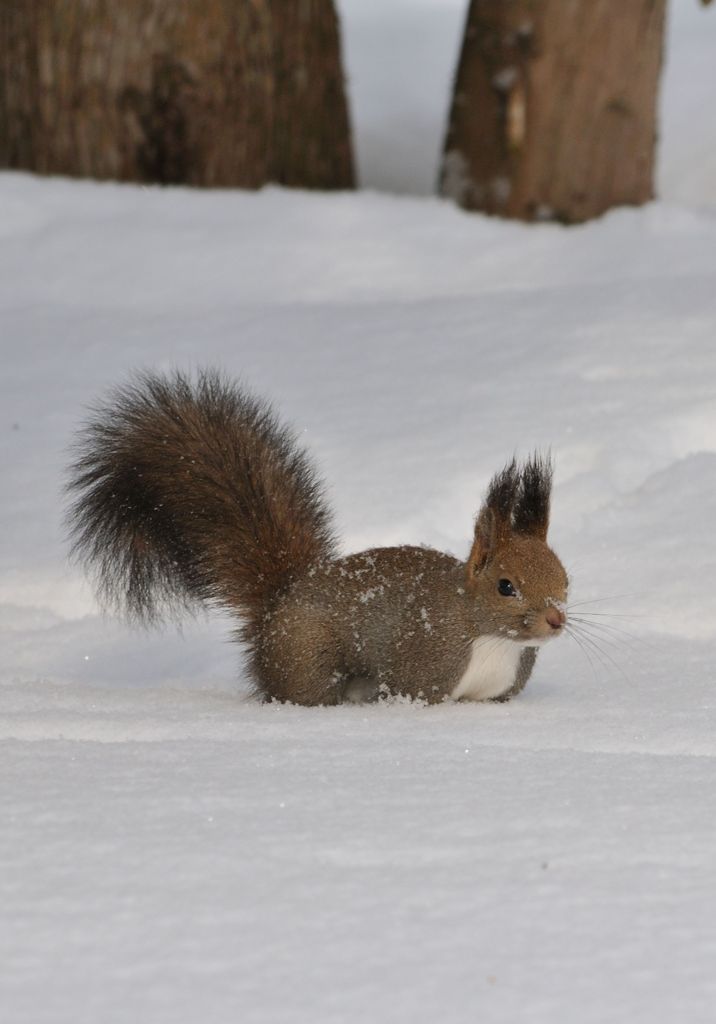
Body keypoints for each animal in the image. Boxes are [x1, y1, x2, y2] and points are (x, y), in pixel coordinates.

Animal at [68, 372, 569, 708]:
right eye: (505, 586)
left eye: (566, 581)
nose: (555, 620)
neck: (489, 636)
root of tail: (276, 609)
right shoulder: (419, 670)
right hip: (308, 661)